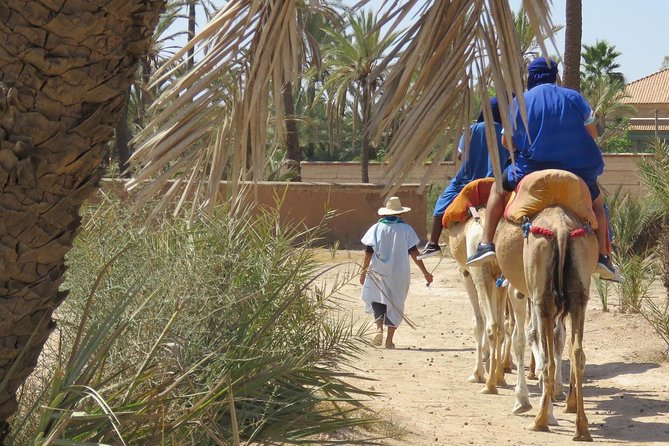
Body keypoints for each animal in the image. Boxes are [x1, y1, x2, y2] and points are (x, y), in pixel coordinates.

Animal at [496, 206, 596, 442]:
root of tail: (561, 229)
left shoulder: (518, 290)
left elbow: (523, 337)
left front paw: (522, 401)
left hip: (543, 297)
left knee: (547, 356)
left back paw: (540, 420)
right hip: (579, 295)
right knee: (577, 352)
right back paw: (581, 427)